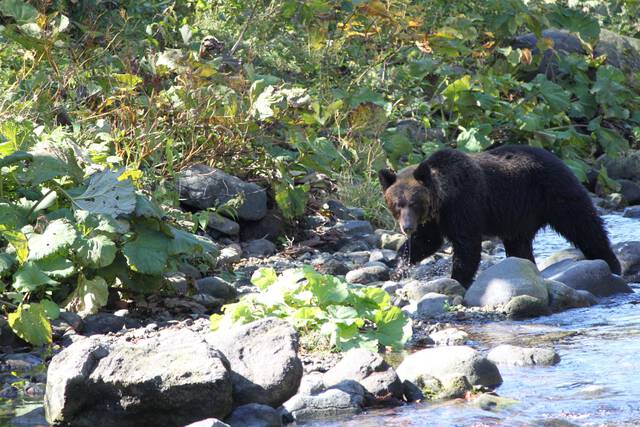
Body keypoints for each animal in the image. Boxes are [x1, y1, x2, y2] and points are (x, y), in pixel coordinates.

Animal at [380, 145, 620, 290]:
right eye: (397, 205)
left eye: (414, 203)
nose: (407, 227)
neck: (443, 199)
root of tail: (559, 158)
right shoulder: (434, 220)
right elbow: (425, 242)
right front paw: (398, 270)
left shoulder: (464, 206)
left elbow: (466, 246)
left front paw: (457, 280)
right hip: (521, 217)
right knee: (520, 246)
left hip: (556, 194)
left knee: (584, 225)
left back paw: (611, 264)